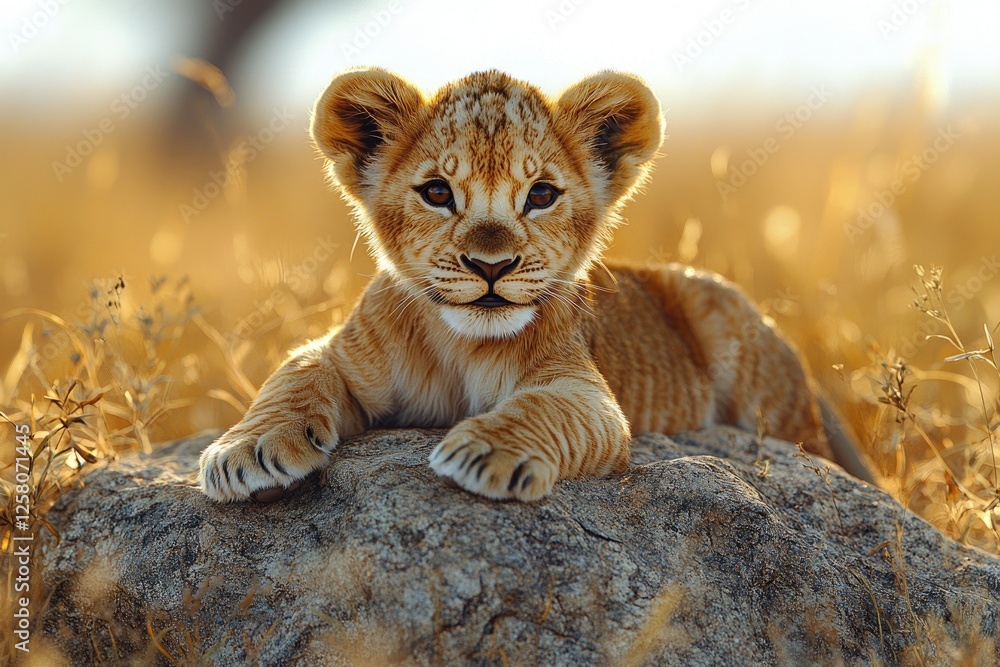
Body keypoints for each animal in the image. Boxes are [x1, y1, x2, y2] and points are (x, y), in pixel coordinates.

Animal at [198, 68, 872, 503]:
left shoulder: (586, 392)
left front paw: (487, 452)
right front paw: (247, 451)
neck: (460, 345)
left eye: (541, 194)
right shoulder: (342, 352)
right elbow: (292, 374)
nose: (491, 266)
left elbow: (546, 408)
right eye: (437, 191)